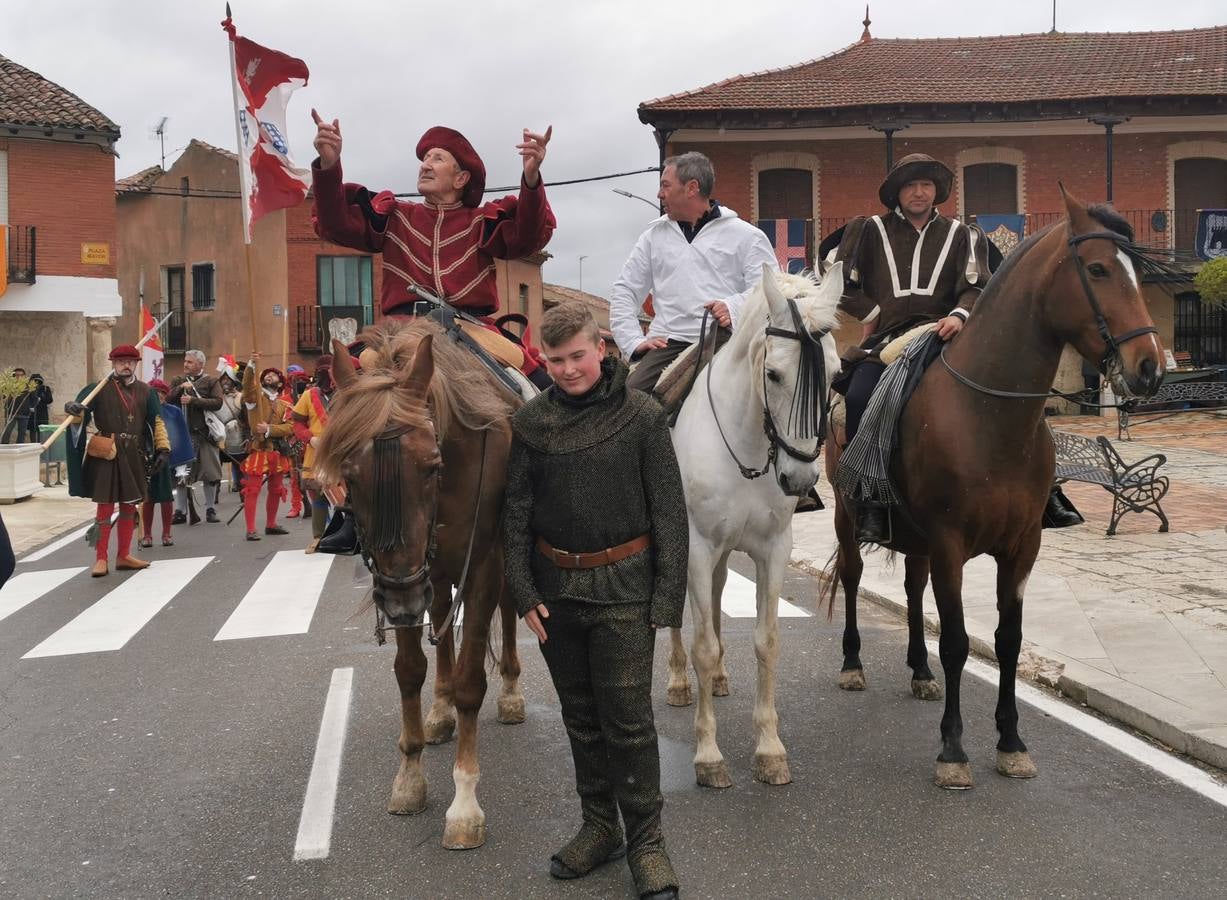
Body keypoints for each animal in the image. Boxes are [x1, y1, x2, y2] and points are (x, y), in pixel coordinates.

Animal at [314, 319, 525, 844]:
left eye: (432, 466)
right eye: (349, 474)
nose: (402, 601)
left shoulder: (482, 565)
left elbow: (472, 679)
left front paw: (464, 804)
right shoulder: (404, 577)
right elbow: (410, 670)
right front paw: (410, 778)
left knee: (507, 612)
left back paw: (511, 693)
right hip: (434, 574)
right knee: (441, 621)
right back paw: (439, 711)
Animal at [662, 261, 844, 785]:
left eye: (836, 375)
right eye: (774, 373)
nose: (799, 477)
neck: (746, 444)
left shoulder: (773, 549)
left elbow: (766, 641)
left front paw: (769, 748)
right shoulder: (697, 547)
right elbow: (702, 642)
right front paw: (708, 755)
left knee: (719, 597)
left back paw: (720, 678)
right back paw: (680, 680)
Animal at [829, 189, 1163, 785]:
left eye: (1137, 272)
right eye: (1098, 269)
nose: (1148, 367)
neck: (988, 415)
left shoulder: (1022, 547)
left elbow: (1008, 641)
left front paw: (1010, 741)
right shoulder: (950, 543)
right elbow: (958, 641)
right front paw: (953, 749)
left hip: (917, 540)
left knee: (912, 588)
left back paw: (919, 671)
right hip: (849, 517)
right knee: (852, 574)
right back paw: (852, 662)